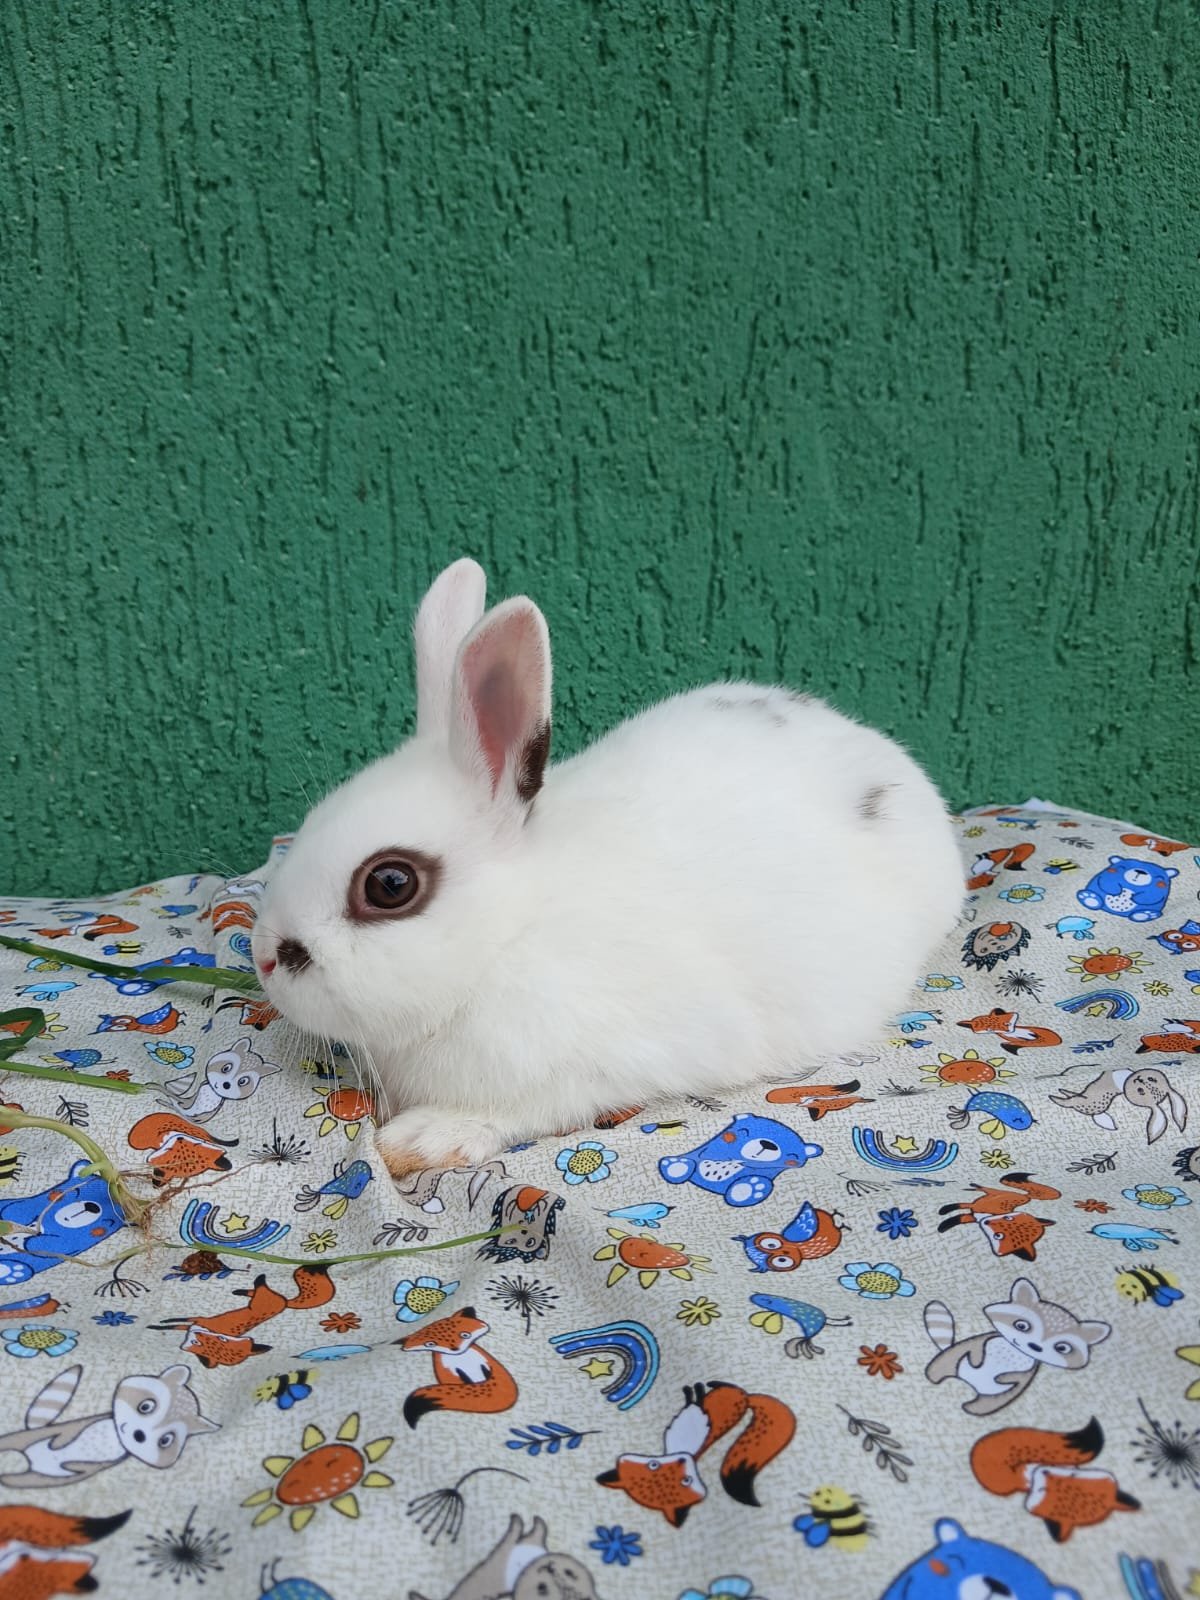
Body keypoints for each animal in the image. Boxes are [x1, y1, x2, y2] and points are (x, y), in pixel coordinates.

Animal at [251, 558, 964, 1177]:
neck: (507, 938)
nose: (263, 960)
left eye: (390, 884)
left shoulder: (601, 1063)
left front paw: (421, 1140)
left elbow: (527, 1109)